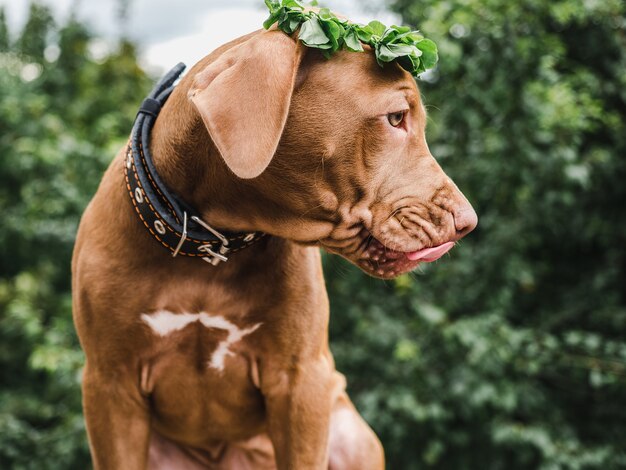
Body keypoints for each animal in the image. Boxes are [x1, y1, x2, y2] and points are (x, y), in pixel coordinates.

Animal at [72, 29, 472, 470]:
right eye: (396, 117)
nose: (468, 222)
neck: (210, 244)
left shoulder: (299, 384)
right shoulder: (111, 387)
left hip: (351, 436)